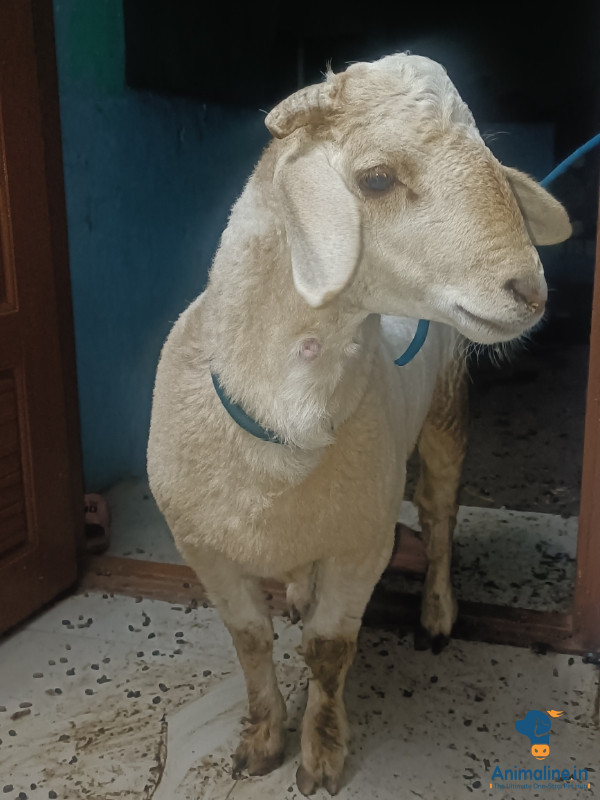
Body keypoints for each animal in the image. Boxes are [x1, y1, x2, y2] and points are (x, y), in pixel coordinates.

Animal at [147, 53, 570, 796]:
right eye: (376, 179)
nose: (529, 291)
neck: (280, 442)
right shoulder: (202, 548)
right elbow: (250, 642)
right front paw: (260, 742)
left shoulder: (361, 548)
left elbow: (327, 650)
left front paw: (319, 755)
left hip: (446, 418)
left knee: (437, 520)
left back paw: (437, 612)